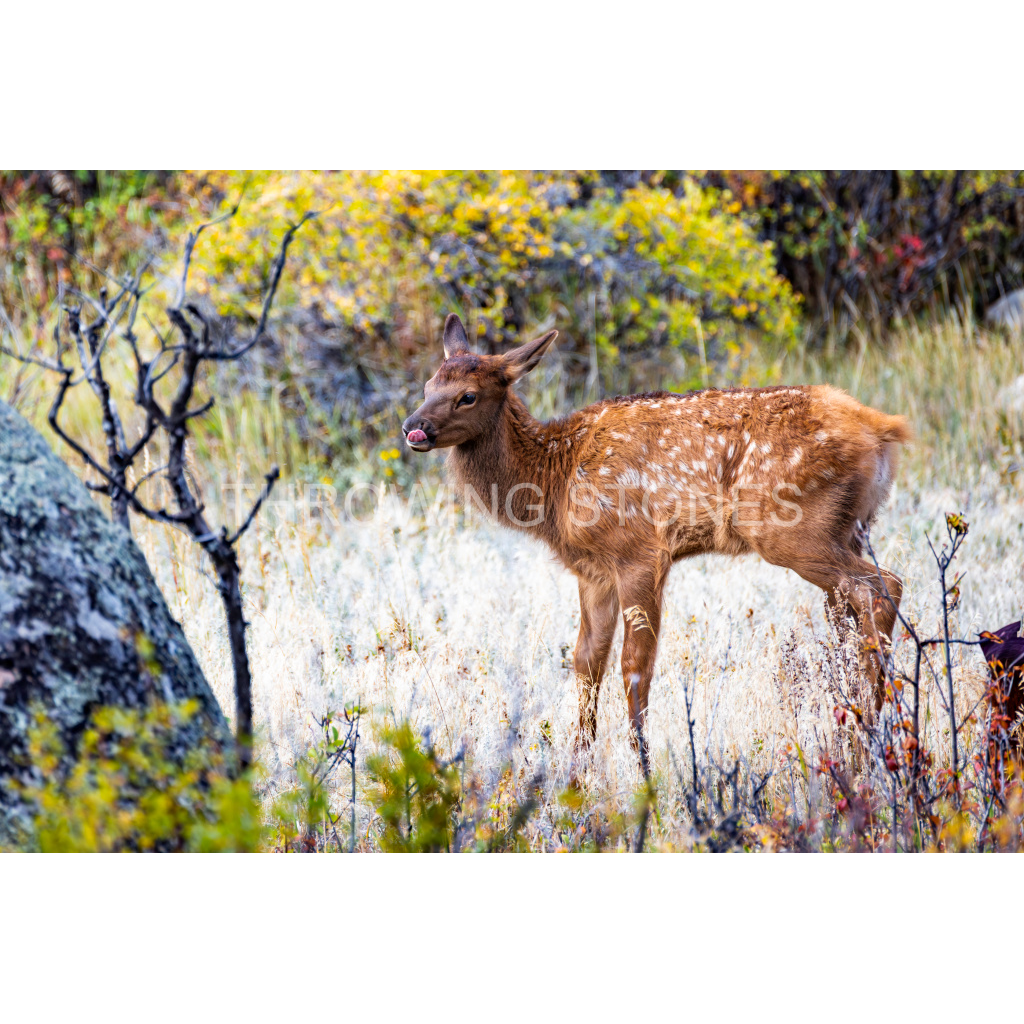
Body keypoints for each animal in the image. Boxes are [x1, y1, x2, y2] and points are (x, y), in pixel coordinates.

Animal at [402, 314, 912, 779]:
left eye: (468, 395)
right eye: (428, 384)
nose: (413, 426)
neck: (554, 480)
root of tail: (884, 430)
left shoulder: (639, 553)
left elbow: (634, 667)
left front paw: (644, 771)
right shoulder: (593, 572)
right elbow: (587, 662)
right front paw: (575, 772)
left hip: (791, 529)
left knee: (883, 585)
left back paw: (864, 744)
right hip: (849, 528)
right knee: (849, 614)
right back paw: (854, 737)